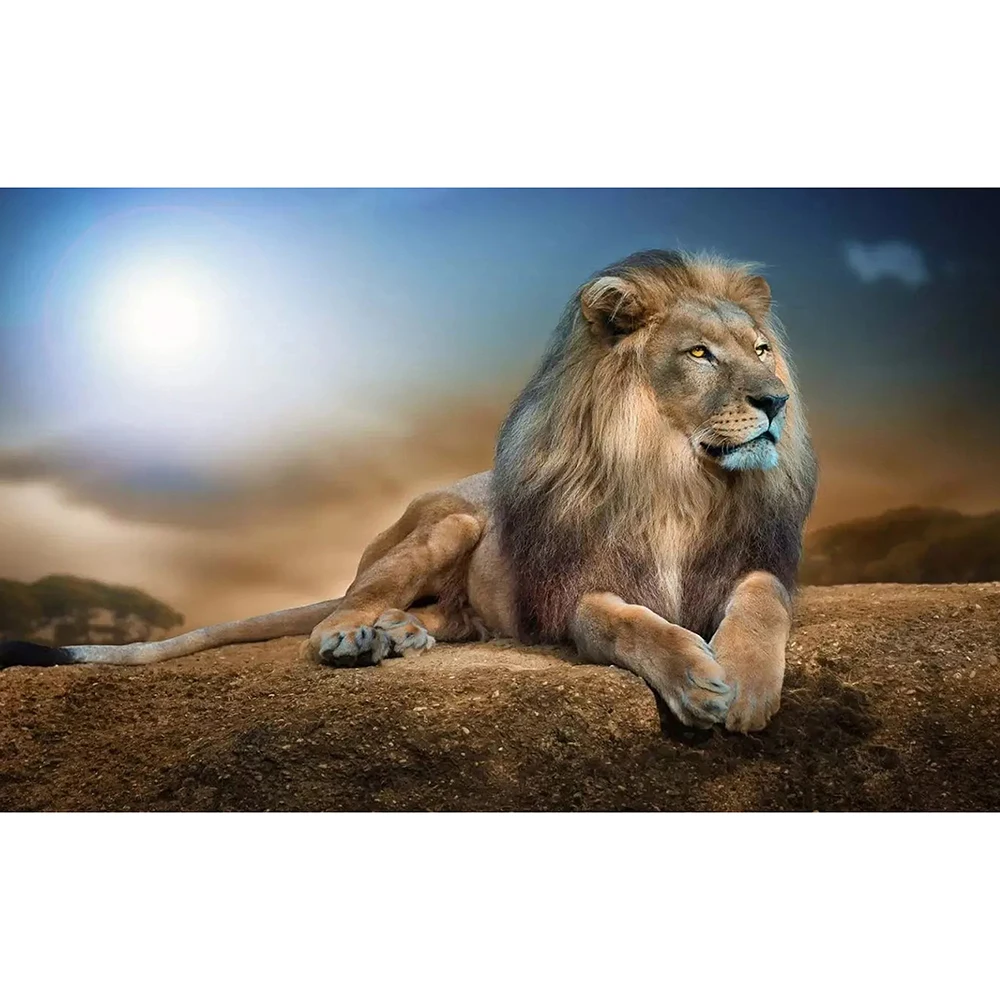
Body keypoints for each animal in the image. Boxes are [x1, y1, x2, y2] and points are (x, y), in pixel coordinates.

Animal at [0, 250, 817, 732]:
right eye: (700, 355)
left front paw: (745, 685)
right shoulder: (571, 597)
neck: (678, 479)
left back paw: (400, 635)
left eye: (762, 349)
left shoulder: (749, 563)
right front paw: (698, 680)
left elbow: (762, 600)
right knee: (337, 612)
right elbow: (626, 622)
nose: (777, 400)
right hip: (449, 525)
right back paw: (355, 636)